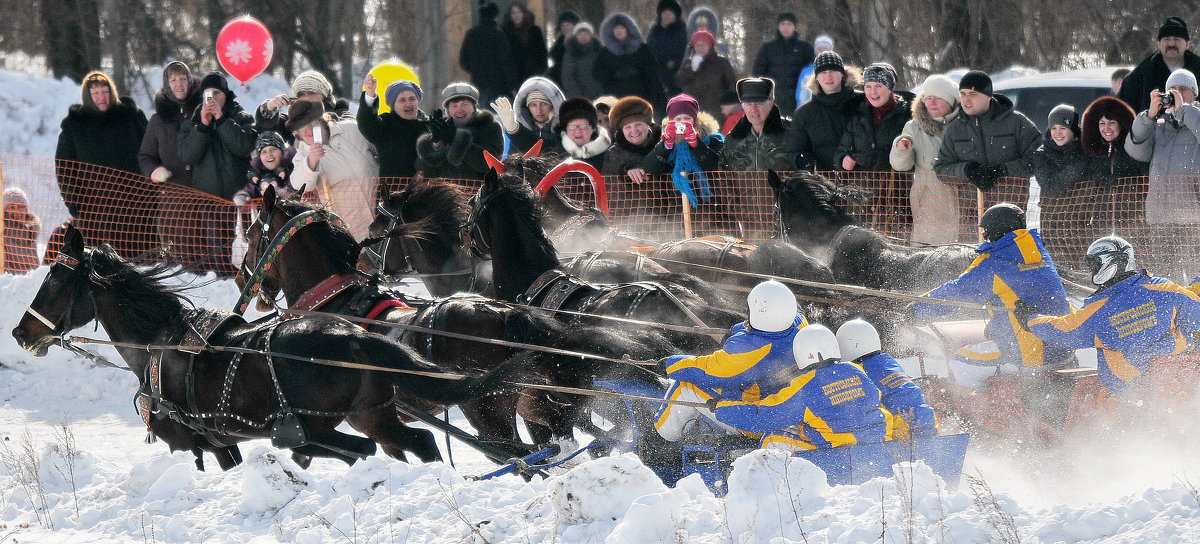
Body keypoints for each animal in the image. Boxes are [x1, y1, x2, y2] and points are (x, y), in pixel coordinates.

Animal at [9, 226, 525, 468]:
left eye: (55, 279)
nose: (20, 333)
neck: (158, 345)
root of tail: (356, 336)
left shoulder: (196, 444)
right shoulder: (225, 443)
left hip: (327, 425)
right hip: (373, 415)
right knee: (417, 442)